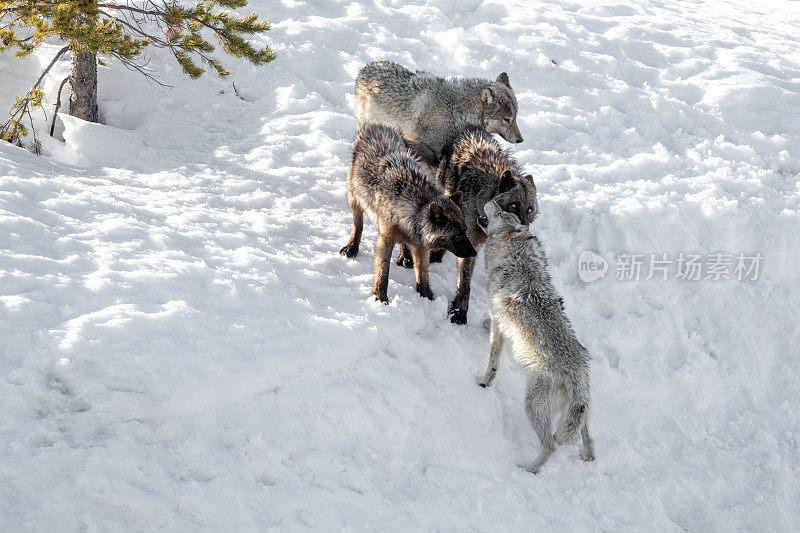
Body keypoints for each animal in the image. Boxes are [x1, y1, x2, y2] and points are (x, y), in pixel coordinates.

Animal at [338, 122, 476, 302]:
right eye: (457, 236)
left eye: (465, 231)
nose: (474, 252)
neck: (414, 208)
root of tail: (377, 125)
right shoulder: (385, 239)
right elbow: (383, 271)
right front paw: (381, 297)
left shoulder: (420, 245)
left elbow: (423, 273)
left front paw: (426, 296)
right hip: (354, 199)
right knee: (358, 225)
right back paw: (351, 248)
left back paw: (404, 256)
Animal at [398, 131, 536, 326]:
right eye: (514, 206)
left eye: (530, 209)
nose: (524, 231)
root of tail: (468, 132)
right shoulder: (470, 241)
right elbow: (465, 282)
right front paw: (460, 312)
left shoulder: (472, 244)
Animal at [476, 197, 592, 472]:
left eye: (501, 213)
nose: (493, 198)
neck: (514, 256)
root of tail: (579, 379)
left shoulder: (499, 322)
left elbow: (493, 360)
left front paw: (484, 382)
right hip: (576, 415)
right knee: (587, 437)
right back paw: (587, 457)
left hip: (532, 405)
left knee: (551, 445)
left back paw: (529, 470)